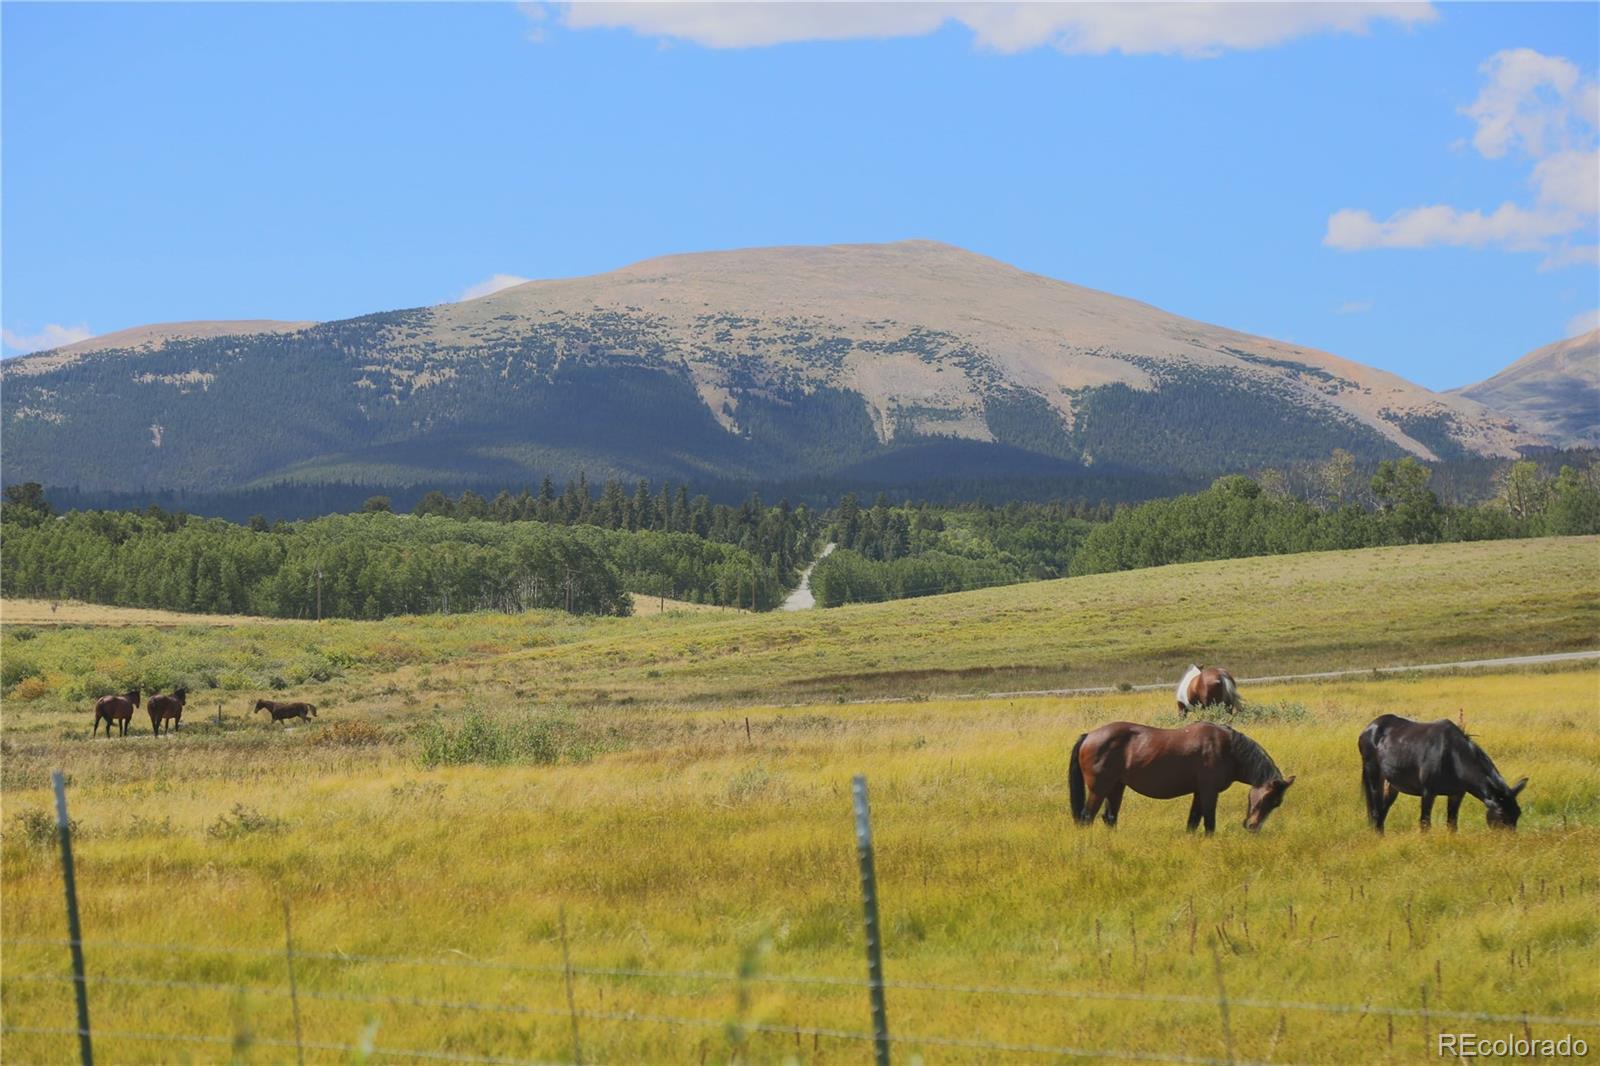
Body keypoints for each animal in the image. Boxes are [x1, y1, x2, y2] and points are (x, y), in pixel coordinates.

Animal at [1068, 723, 1292, 832]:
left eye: (1276, 804)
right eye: (1267, 798)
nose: (1253, 827)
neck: (1227, 748)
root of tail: (1089, 735)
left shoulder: (1199, 792)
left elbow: (1193, 822)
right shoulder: (1209, 792)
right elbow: (1209, 822)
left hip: (1116, 787)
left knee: (1109, 818)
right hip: (1099, 788)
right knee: (1087, 817)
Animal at [1356, 713, 1529, 832]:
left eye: (1518, 814)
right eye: (1501, 815)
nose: (1508, 843)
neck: (1452, 756)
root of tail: (1370, 727)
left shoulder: (1457, 794)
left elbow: (1452, 824)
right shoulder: (1428, 793)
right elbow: (1425, 824)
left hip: (1392, 783)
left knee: (1382, 811)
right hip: (1373, 775)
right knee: (1375, 811)